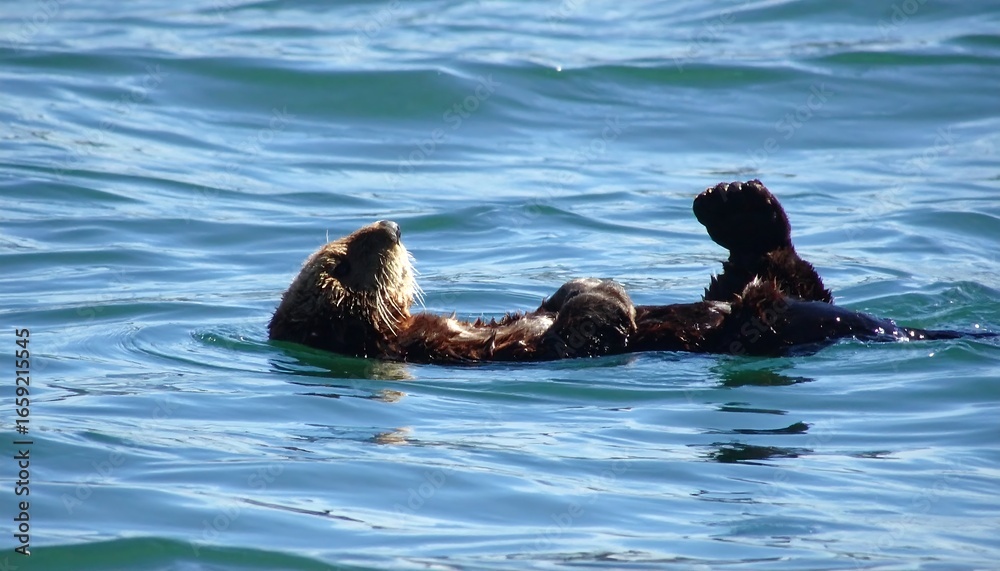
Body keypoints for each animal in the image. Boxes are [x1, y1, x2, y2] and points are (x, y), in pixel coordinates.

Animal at [268, 180, 993, 362]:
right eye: (343, 260)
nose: (390, 228)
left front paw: (585, 283)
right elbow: (587, 331)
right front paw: (610, 298)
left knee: (771, 267)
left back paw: (737, 203)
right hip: (768, 321)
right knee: (776, 287)